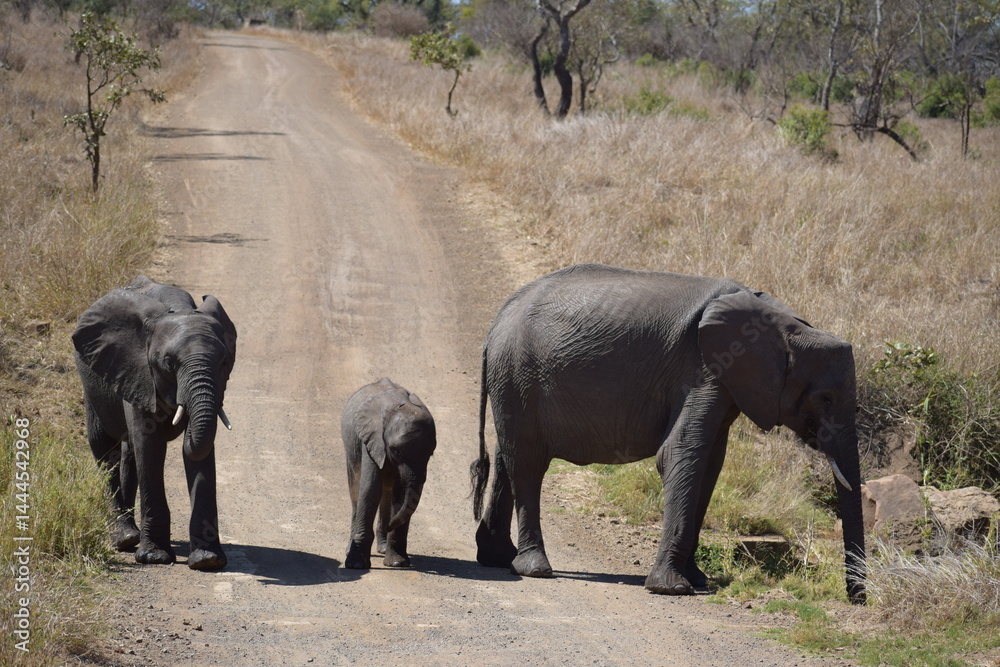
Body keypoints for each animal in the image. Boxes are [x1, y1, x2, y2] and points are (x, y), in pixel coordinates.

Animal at [72, 275, 237, 570]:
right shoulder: (139, 372)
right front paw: (154, 558)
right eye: (169, 363)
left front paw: (208, 561)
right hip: (91, 380)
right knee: (106, 448)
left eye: (224, 361)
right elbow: (149, 445)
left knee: (129, 452)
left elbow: (198, 450)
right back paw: (124, 538)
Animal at [343, 378, 436, 569]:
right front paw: (356, 564)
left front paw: (397, 563)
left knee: (387, 494)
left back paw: (384, 548)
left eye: (430, 454)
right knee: (356, 490)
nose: (389, 527)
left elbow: (401, 495)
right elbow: (370, 489)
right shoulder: (372, 441)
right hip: (351, 449)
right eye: (396, 451)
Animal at [470, 263, 865, 604]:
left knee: (507, 454)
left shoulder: (726, 383)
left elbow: (710, 464)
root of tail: (496, 324)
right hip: (519, 373)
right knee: (528, 462)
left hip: (513, 380)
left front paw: (697, 579)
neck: (785, 323)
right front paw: (672, 589)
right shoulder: (703, 370)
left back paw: (498, 558)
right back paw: (535, 569)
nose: (856, 599)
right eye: (825, 398)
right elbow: (680, 453)